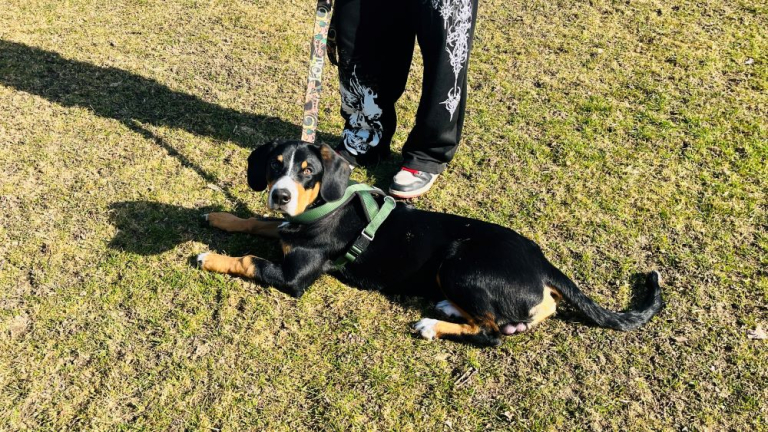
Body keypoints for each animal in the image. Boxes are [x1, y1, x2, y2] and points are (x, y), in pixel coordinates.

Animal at [197, 140, 663, 346]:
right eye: (275, 166)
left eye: (308, 170)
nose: (280, 195)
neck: (322, 207)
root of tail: (542, 262)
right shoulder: (284, 227)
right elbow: (257, 223)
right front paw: (220, 217)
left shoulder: (294, 277)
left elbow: (249, 259)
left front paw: (209, 255)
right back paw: (449, 308)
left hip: (459, 264)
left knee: (492, 332)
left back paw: (433, 325)